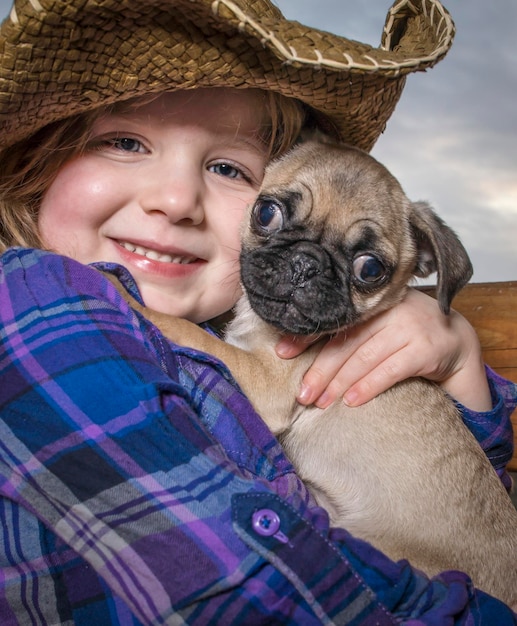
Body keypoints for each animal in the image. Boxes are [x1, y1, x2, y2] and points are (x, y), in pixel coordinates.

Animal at [113, 140, 516, 604]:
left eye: (370, 269)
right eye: (266, 213)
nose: (306, 263)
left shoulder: (266, 381)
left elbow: (185, 328)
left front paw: (124, 290)